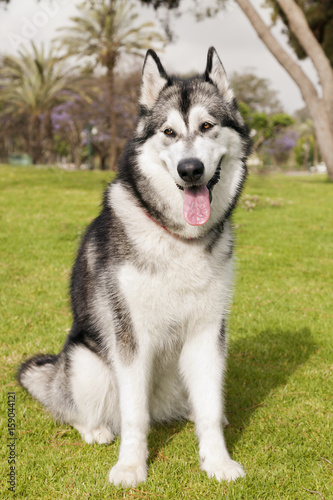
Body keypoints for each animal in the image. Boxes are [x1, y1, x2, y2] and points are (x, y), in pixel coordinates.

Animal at [18, 47, 250, 488]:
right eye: (169, 133)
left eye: (207, 126)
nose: (190, 169)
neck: (177, 236)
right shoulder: (130, 335)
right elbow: (133, 416)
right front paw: (131, 465)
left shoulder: (208, 331)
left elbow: (210, 411)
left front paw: (217, 460)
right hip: (87, 364)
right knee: (75, 408)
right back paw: (95, 429)